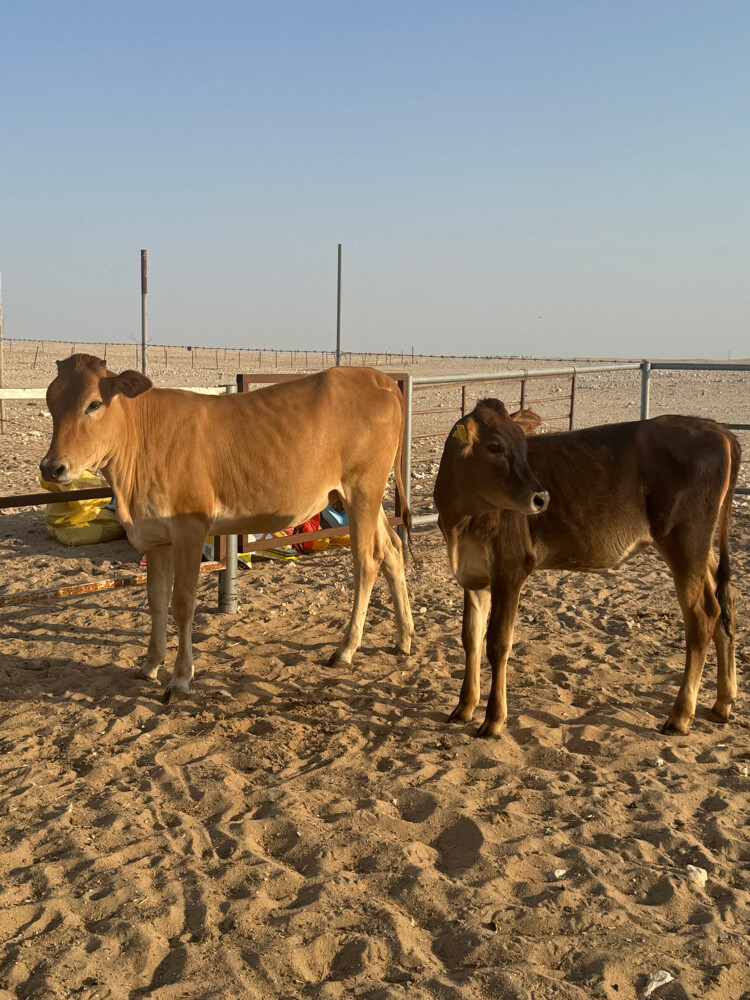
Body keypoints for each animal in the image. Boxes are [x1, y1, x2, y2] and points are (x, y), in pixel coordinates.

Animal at [41, 355, 414, 702]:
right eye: (50, 400)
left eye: (93, 403)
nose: (51, 467)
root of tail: (378, 378)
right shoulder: (156, 537)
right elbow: (156, 601)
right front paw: (149, 665)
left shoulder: (189, 530)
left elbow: (182, 604)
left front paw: (180, 678)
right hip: (362, 498)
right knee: (392, 551)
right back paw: (403, 638)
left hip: (362, 490)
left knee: (366, 562)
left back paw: (346, 649)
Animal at [433, 398, 741, 738]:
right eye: (495, 446)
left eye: (523, 444)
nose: (542, 497)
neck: (461, 521)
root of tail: (716, 428)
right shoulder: (474, 574)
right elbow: (470, 637)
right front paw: (464, 707)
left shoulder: (510, 569)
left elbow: (498, 643)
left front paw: (493, 720)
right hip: (701, 548)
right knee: (726, 601)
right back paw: (722, 703)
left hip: (685, 540)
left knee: (703, 616)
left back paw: (680, 716)